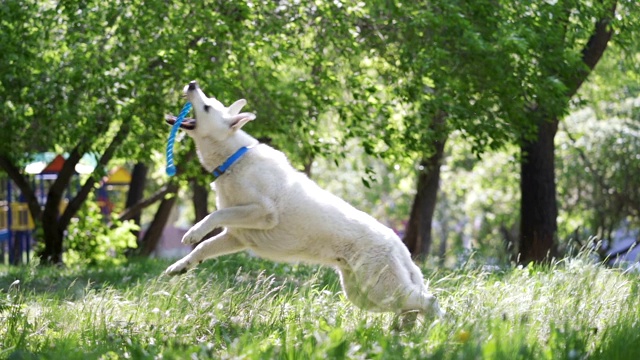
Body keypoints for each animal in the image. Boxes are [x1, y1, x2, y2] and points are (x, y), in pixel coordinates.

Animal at [165, 81, 442, 324]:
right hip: (364, 295)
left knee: (429, 301)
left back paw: (434, 329)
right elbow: (203, 248)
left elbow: (214, 216)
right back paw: (404, 332)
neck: (234, 159)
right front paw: (181, 266)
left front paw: (192, 232)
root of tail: (398, 243)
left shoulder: (263, 213)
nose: (192, 83)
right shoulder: (236, 236)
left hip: (379, 289)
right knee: (411, 307)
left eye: (207, 106)